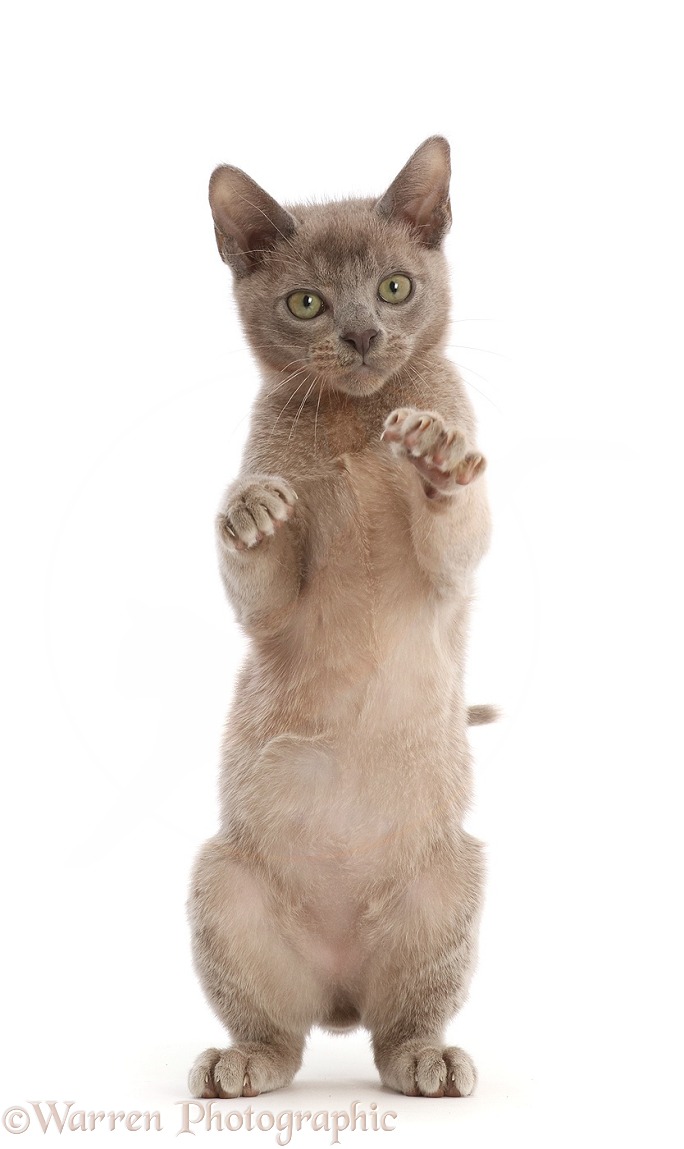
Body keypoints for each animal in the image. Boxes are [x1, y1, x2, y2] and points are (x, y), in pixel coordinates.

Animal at [188, 139, 492, 1098]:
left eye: (394, 288)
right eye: (307, 302)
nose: (360, 334)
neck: (357, 421)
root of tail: (340, 998)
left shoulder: (454, 568)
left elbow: (457, 525)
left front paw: (433, 452)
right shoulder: (269, 608)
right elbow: (257, 580)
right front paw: (249, 511)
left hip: (451, 887)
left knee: (404, 1023)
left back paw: (430, 1058)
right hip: (222, 882)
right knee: (276, 1033)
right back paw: (238, 1063)